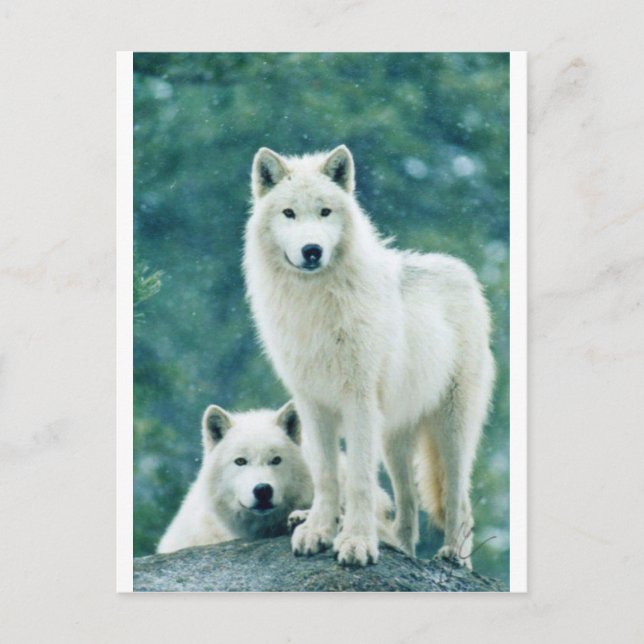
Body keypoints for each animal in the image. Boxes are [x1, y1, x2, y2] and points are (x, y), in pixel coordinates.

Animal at [244, 145, 495, 568]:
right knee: (407, 508)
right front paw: (318, 531)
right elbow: (326, 474)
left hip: (451, 428)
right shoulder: (312, 403)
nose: (312, 251)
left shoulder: (357, 400)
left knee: (458, 497)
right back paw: (396, 546)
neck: (314, 304)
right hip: (394, 437)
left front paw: (356, 542)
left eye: (325, 211)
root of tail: (463, 271)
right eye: (289, 213)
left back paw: (454, 557)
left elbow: (359, 479)